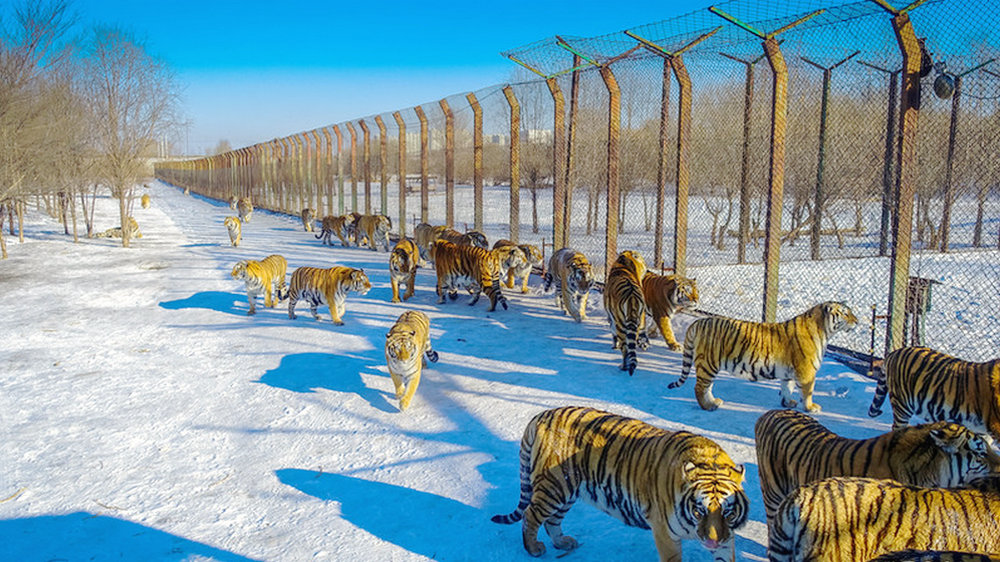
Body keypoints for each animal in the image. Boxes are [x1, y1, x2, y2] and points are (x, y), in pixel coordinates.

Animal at [491, 406, 749, 562]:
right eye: (699, 511)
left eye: (727, 512)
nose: (713, 541)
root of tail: (540, 416)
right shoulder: (665, 533)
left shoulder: (727, 536)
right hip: (553, 487)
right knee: (531, 515)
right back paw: (533, 548)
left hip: (567, 489)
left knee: (551, 521)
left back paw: (563, 542)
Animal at [669, 301, 858, 412]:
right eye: (845, 313)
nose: (857, 322)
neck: (825, 331)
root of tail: (698, 321)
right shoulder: (806, 372)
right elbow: (807, 392)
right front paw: (810, 407)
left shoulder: (789, 372)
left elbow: (787, 388)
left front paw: (788, 403)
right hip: (709, 364)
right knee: (700, 387)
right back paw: (708, 406)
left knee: (706, 387)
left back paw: (714, 402)